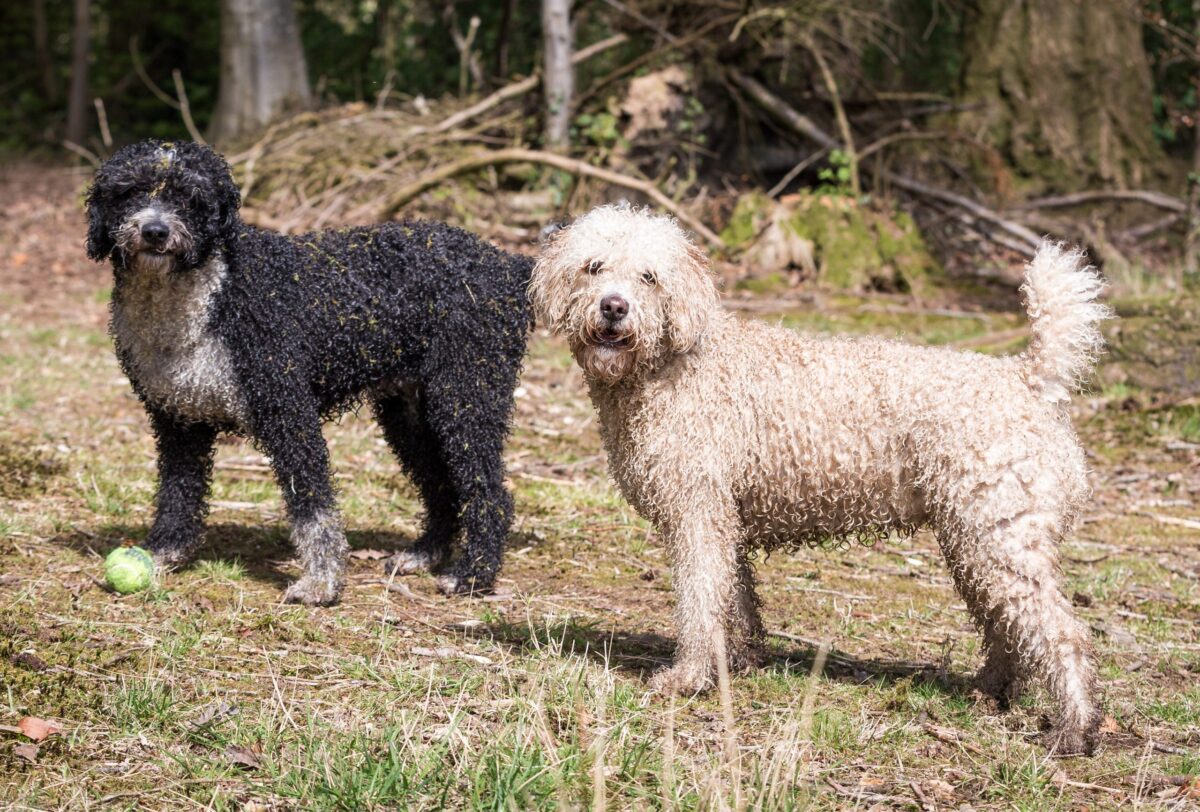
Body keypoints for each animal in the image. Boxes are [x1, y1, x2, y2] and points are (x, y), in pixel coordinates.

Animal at [87, 139, 532, 604]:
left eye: (188, 196)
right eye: (130, 192)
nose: (155, 231)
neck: (207, 293)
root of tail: (507, 264)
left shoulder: (287, 412)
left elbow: (313, 505)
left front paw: (322, 580)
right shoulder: (178, 420)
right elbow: (178, 494)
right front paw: (163, 553)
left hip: (466, 398)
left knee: (489, 493)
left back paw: (473, 575)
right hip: (411, 414)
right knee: (440, 485)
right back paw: (425, 554)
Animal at [530, 203, 1108, 753]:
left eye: (649, 276)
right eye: (593, 267)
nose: (613, 306)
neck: (673, 364)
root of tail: (1029, 378)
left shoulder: (698, 513)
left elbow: (700, 603)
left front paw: (688, 677)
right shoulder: (725, 517)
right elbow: (734, 600)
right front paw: (739, 662)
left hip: (999, 537)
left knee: (1063, 634)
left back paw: (1074, 731)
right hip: (974, 539)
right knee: (1008, 625)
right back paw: (990, 690)